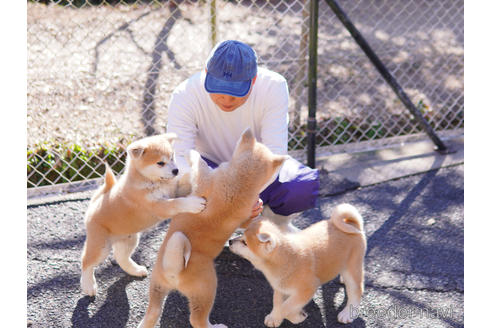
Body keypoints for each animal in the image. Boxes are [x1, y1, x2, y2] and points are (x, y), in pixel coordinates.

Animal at [80, 133, 206, 298]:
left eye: (172, 157)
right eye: (160, 163)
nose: (176, 170)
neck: (151, 181)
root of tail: (94, 204)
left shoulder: (173, 191)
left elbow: (182, 187)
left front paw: (192, 175)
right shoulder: (158, 206)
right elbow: (177, 203)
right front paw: (194, 204)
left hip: (129, 239)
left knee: (121, 257)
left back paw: (135, 270)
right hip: (101, 246)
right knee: (86, 262)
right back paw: (88, 286)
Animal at [136, 128, 288, 328]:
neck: (241, 181)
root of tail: (173, 271)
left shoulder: (204, 178)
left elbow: (200, 162)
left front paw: (191, 153)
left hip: (205, 290)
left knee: (197, 320)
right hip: (157, 286)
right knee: (153, 313)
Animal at [230, 202, 366, 326]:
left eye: (245, 243)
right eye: (242, 235)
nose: (230, 241)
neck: (287, 259)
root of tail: (352, 224)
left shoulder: (307, 289)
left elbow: (286, 307)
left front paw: (297, 316)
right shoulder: (280, 287)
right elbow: (278, 303)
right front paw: (275, 318)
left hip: (352, 267)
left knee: (356, 290)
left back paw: (347, 314)